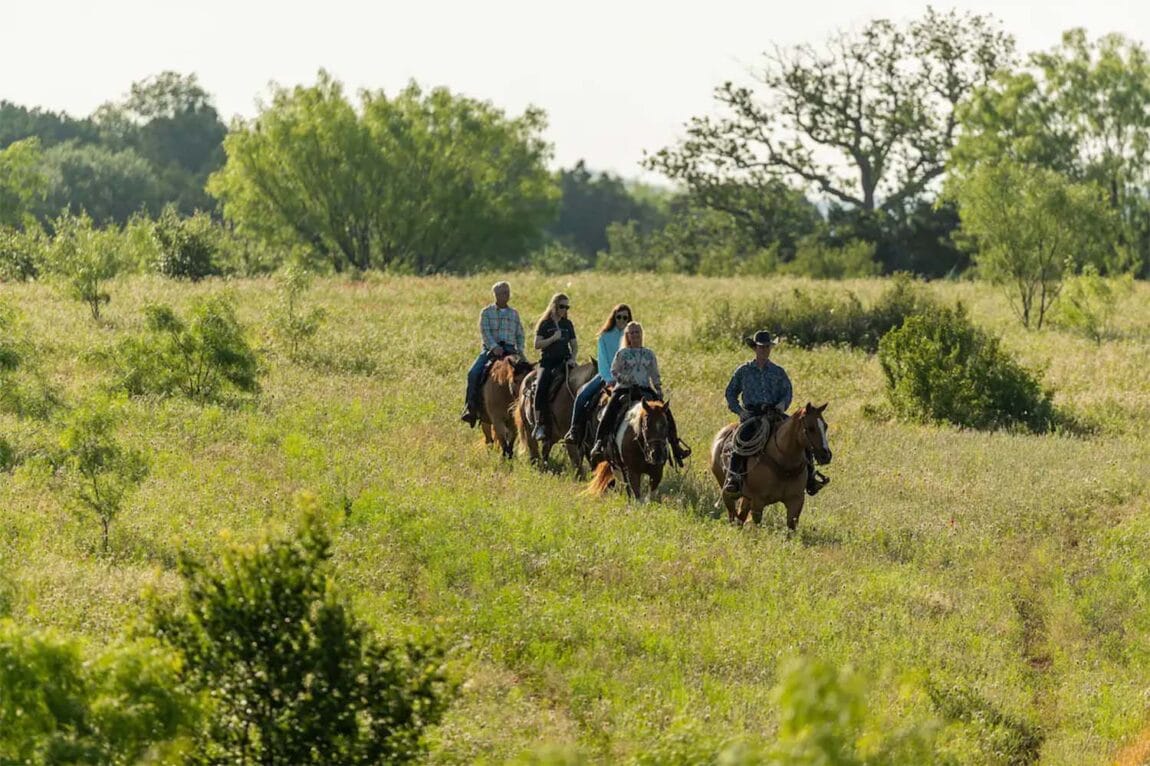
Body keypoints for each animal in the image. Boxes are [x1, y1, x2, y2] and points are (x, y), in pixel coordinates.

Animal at [703, 402, 832, 529]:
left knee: (740, 516)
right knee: (732, 514)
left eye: (825, 426)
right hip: (727, 492)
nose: (826, 455)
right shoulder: (758, 501)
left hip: (746, 498)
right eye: (811, 428)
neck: (785, 466)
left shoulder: (796, 501)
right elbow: (756, 524)